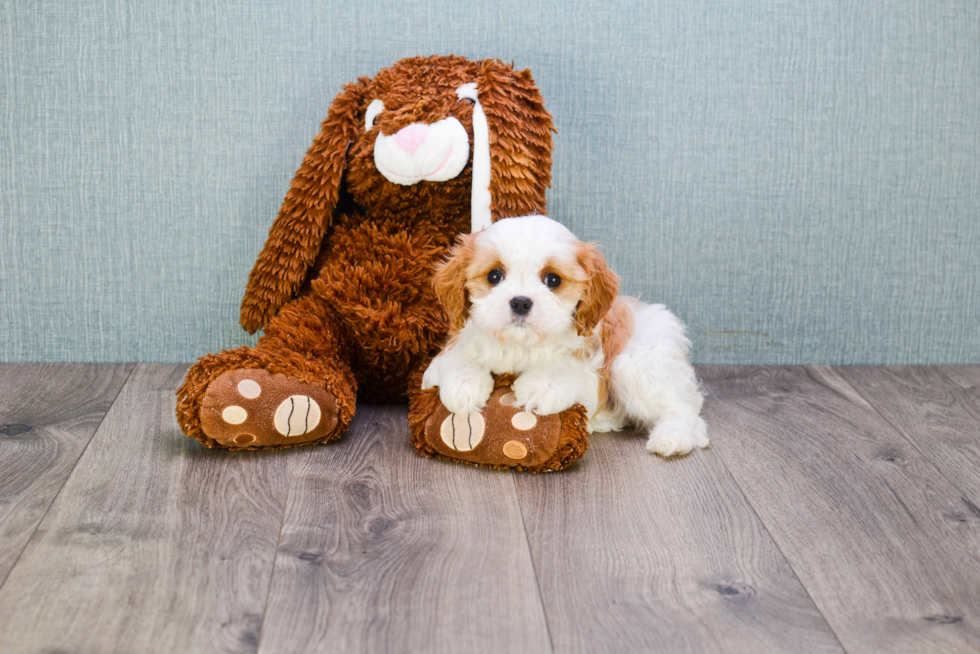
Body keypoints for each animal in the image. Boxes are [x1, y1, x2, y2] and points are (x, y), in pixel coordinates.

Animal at [424, 215, 708, 456]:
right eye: (494, 276)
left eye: (553, 280)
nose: (520, 302)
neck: (520, 346)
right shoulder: (446, 353)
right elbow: (457, 358)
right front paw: (463, 386)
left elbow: (565, 367)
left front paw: (541, 386)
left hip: (634, 364)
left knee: (686, 410)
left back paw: (671, 438)